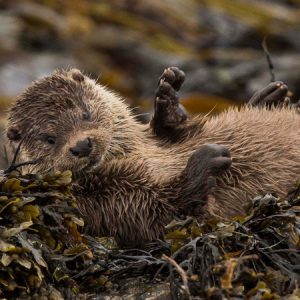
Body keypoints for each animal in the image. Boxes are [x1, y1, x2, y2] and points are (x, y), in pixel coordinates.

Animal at [5, 68, 300, 246]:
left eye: (85, 113)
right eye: (49, 139)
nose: (81, 146)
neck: (136, 155)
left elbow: (171, 132)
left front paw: (167, 99)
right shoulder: (101, 206)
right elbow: (164, 216)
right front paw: (205, 162)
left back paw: (272, 96)